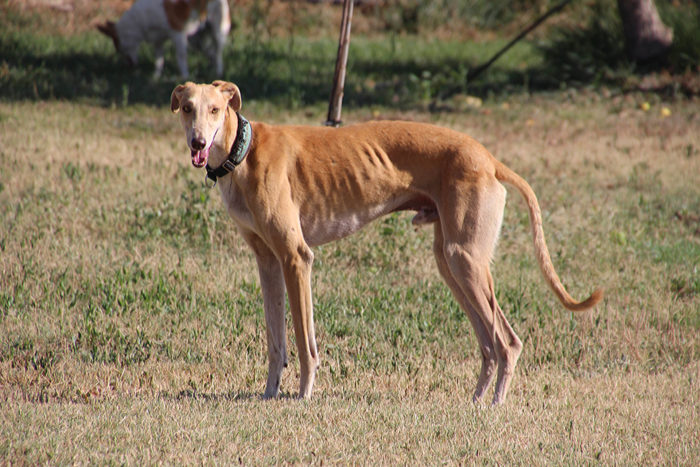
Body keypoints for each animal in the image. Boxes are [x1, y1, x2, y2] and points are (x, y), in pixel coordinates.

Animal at [97, 0, 230, 79]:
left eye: (120, 49)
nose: (129, 66)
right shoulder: (158, 41)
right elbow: (159, 61)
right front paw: (155, 77)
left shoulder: (178, 34)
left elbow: (181, 58)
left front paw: (185, 76)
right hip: (196, 40)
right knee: (210, 53)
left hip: (216, 31)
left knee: (218, 53)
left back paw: (218, 72)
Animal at [170, 81, 603, 405]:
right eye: (188, 108)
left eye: (215, 109)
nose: (197, 144)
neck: (244, 152)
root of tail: (489, 159)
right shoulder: (268, 262)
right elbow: (276, 342)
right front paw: (269, 393)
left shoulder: (297, 258)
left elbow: (305, 342)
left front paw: (304, 395)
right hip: (452, 263)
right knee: (488, 344)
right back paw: (478, 400)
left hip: (466, 260)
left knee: (508, 342)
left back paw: (495, 403)